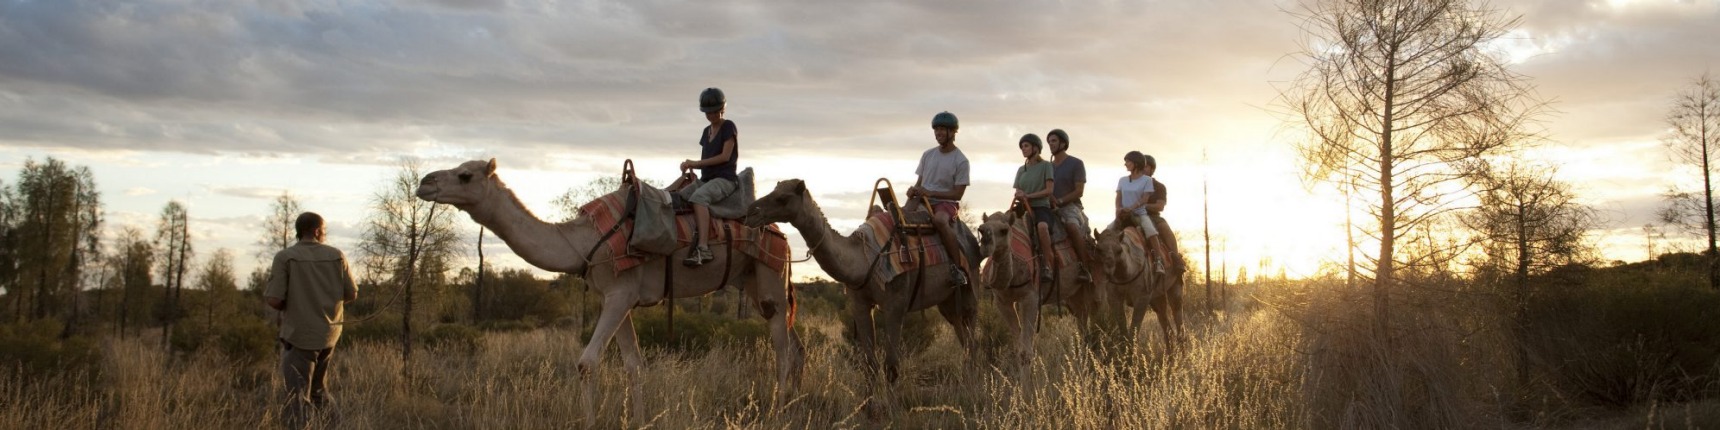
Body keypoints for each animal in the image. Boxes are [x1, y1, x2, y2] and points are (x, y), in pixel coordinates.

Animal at [412, 159, 801, 421]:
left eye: (465, 175)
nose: (424, 182)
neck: (582, 241)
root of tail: (782, 235)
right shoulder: (617, 298)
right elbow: (634, 365)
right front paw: (640, 421)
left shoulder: (620, 295)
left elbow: (586, 363)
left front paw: (590, 421)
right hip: (752, 280)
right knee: (795, 343)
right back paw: (795, 403)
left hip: (770, 274)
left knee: (782, 348)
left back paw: (777, 412)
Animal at [743, 178, 983, 383]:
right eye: (773, 190)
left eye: (782, 198)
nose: (750, 212)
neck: (864, 259)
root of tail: (972, 240)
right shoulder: (860, 303)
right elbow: (869, 365)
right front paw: (869, 407)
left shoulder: (895, 304)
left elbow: (892, 367)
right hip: (947, 301)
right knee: (963, 338)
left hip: (970, 288)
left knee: (972, 336)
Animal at [976, 209, 1107, 364]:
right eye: (981, 229)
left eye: (1004, 230)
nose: (985, 243)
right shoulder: (1002, 301)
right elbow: (1017, 348)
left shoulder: (1031, 298)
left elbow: (1026, 353)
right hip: (1074, 296)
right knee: (1083, 325)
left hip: (1097, 283)